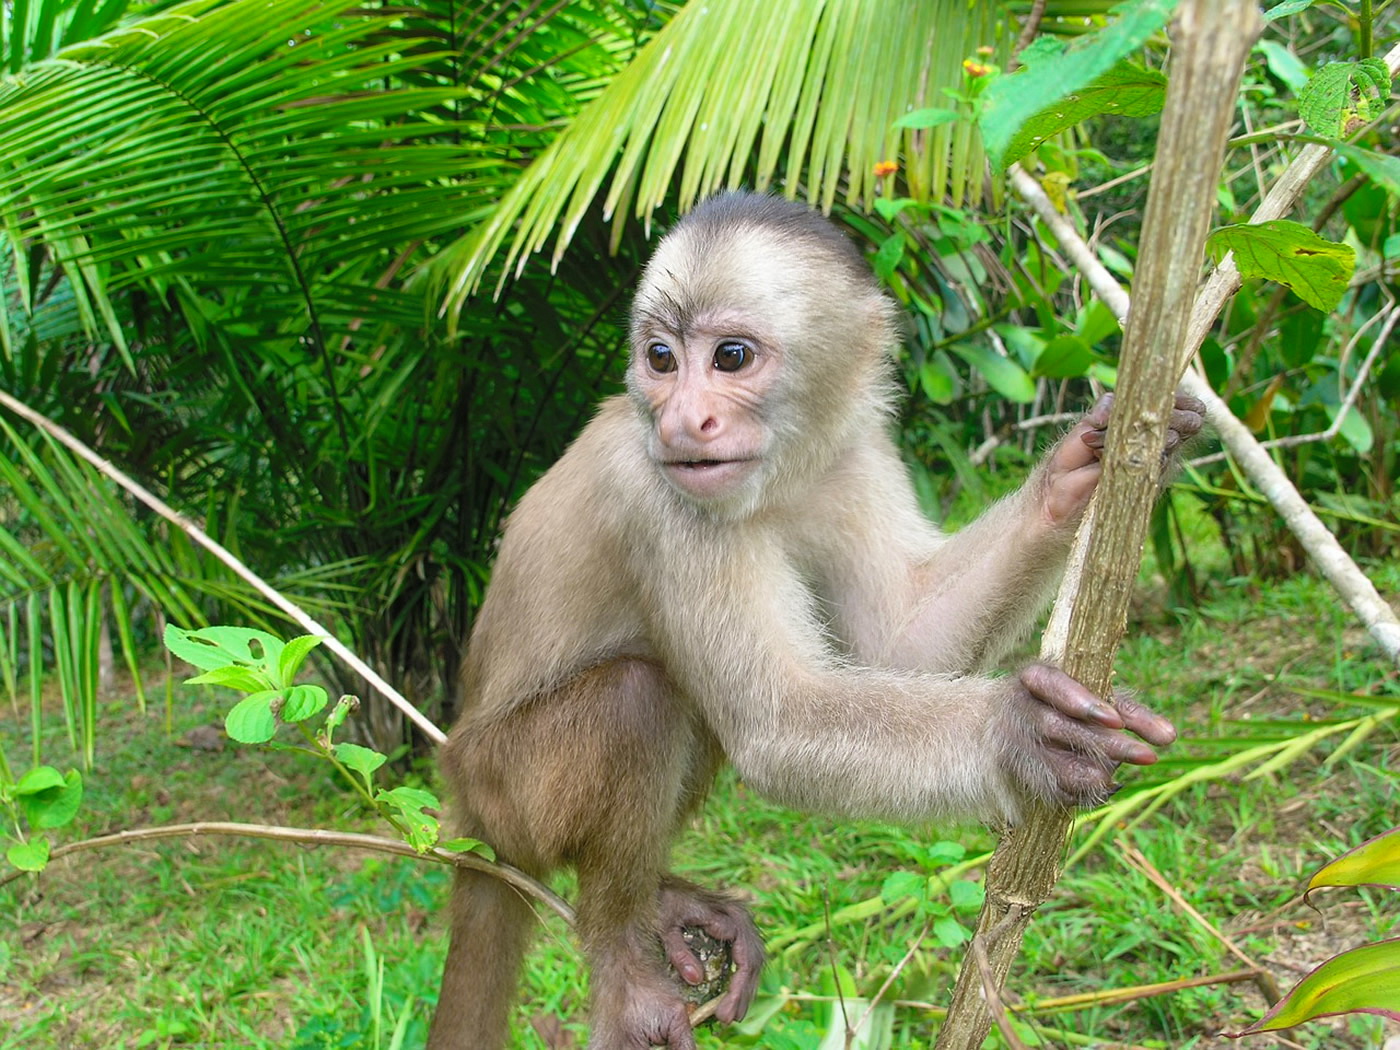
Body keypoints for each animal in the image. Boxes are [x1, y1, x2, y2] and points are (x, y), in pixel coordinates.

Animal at [426, 192, 1204, 1050]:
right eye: (661, 359)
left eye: (730, 357)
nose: (682, 419)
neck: (777, 475)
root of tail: (459, 795)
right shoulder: (664, 496)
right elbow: (777, 725)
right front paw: (1021, 731)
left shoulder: (856, 453)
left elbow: (906, 641)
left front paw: (1082, 468)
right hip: (504, 793)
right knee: (641, 694)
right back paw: (621, 955)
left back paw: (662, 901)